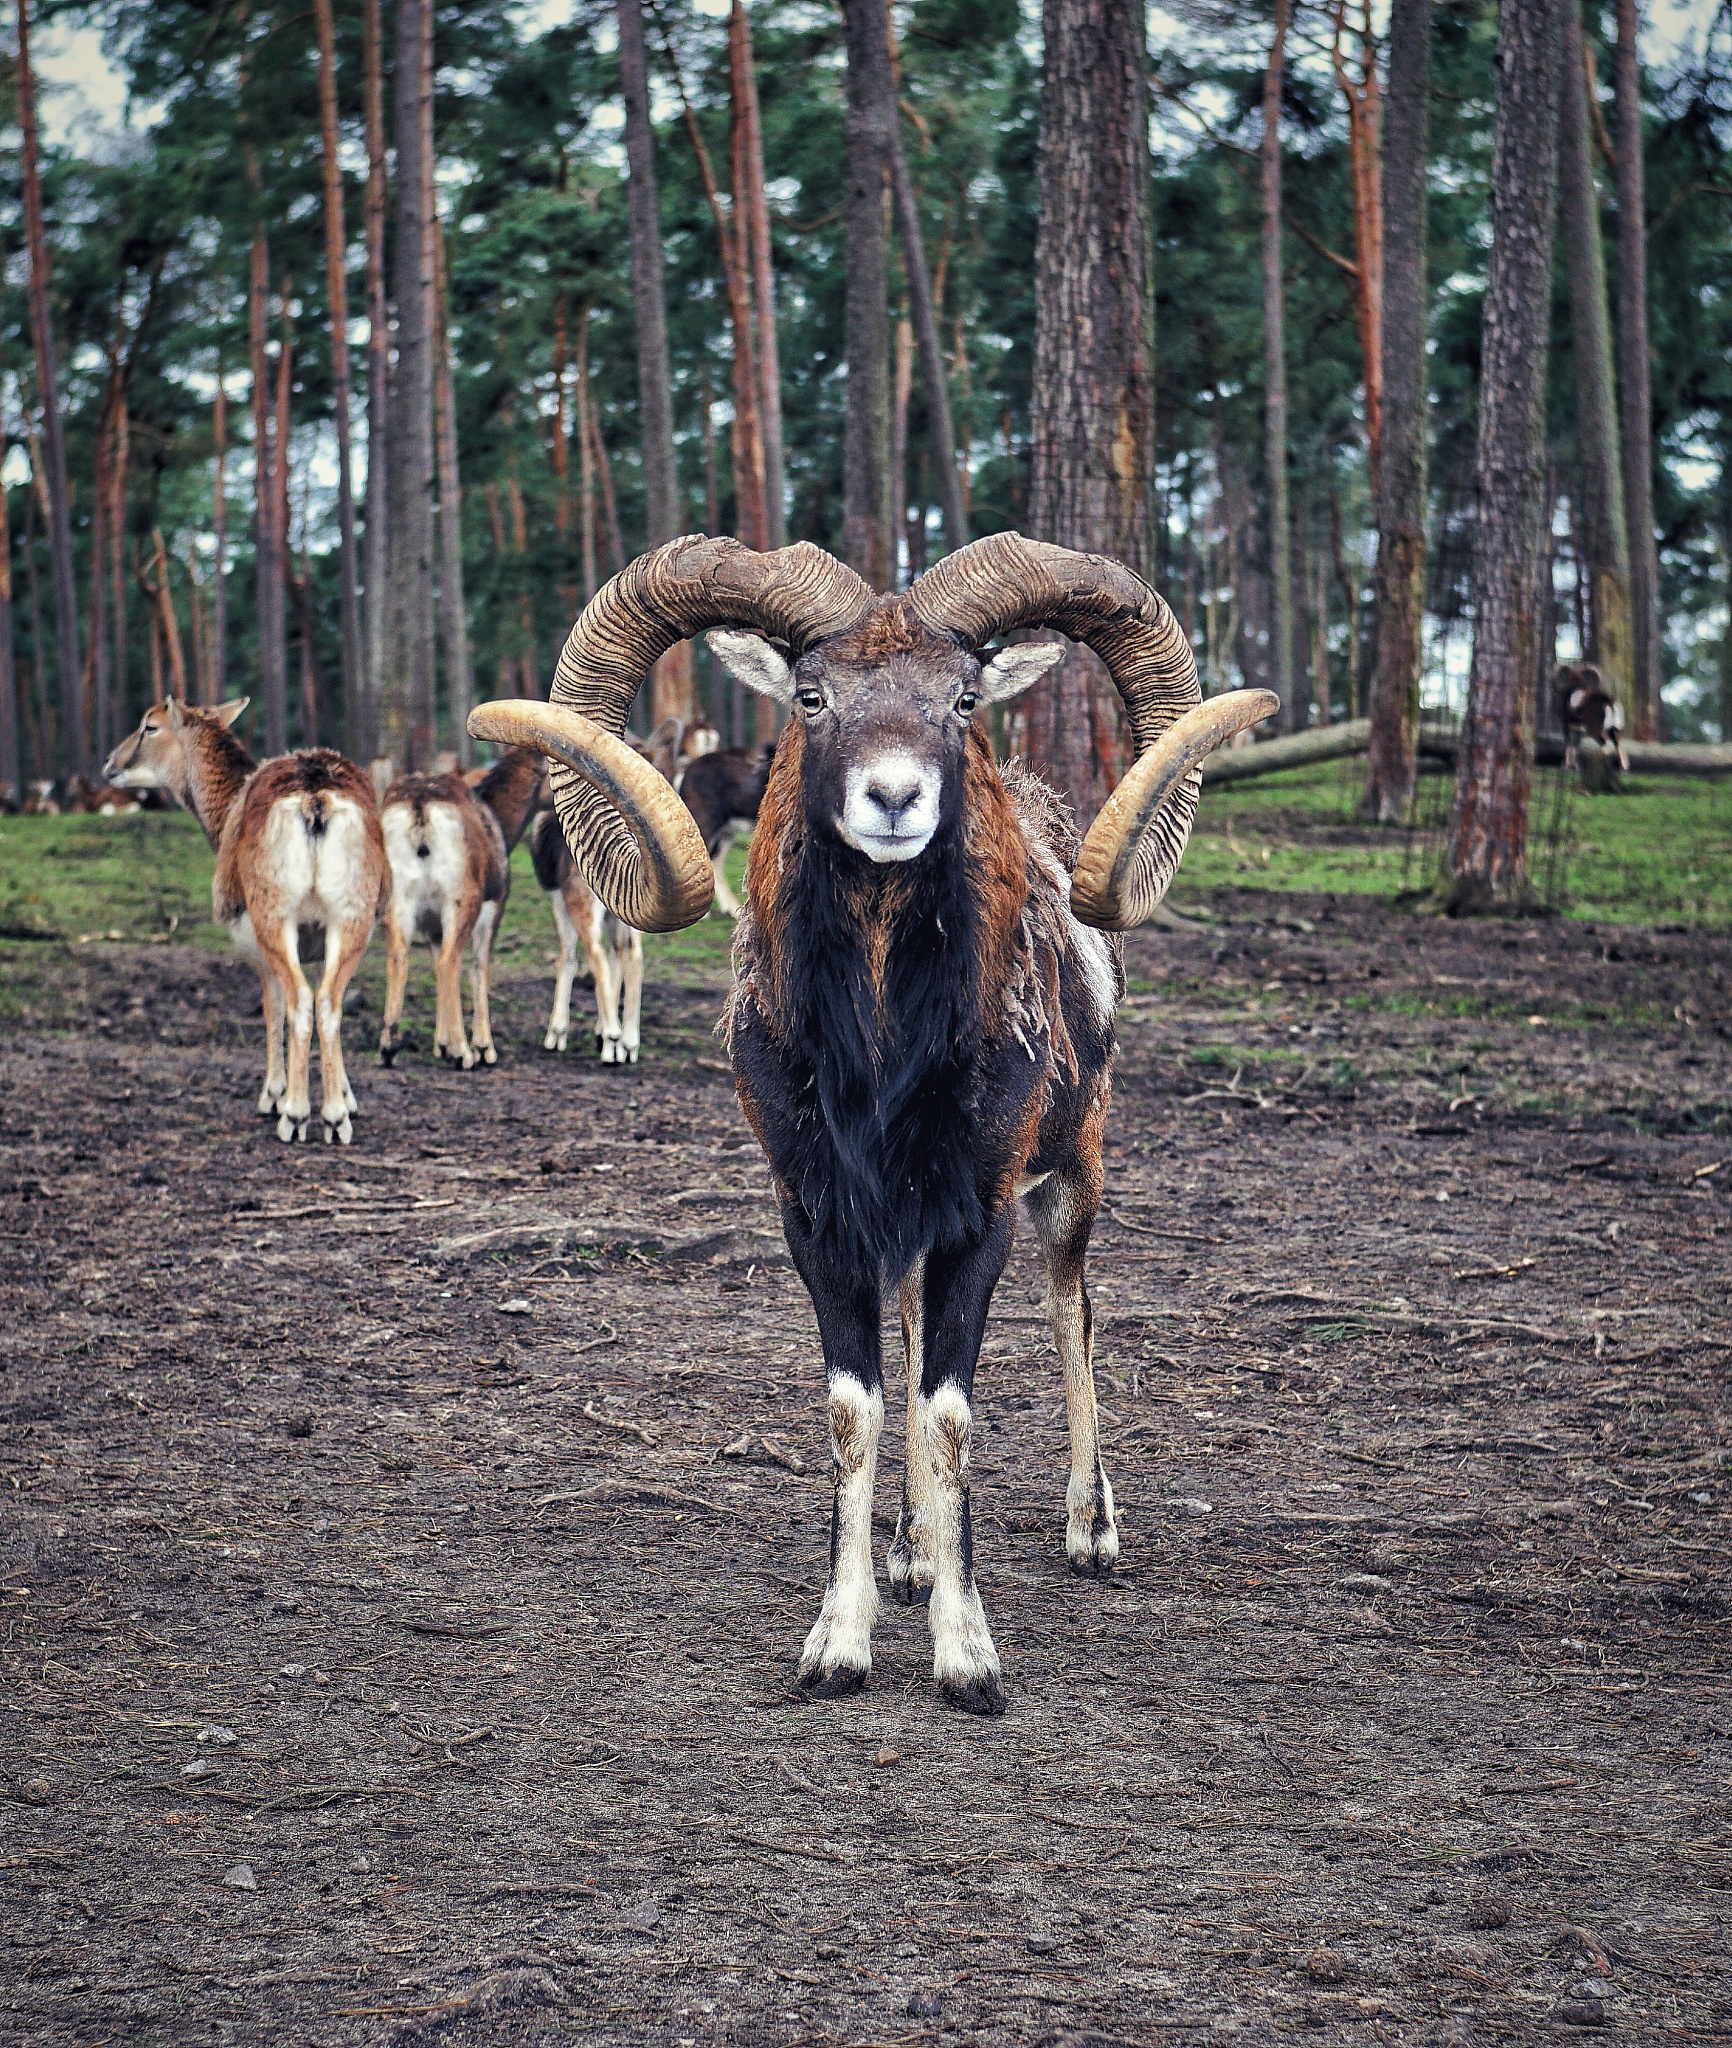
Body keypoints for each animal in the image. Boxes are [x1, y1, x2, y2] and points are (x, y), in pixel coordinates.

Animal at [103, 697, 389, 1143]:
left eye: (150, 725)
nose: (110, 764)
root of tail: (315, 800)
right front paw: (347, 1097)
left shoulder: (249, 937)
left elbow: (272, 1005)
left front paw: (272, 1097)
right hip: (353, 913)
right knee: (328, 1001)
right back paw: (335, 1119)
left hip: (273, 913)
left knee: (299, 1000)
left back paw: (294, 1116)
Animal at [471, 533, 1273, 1713]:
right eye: (813, 696)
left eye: (962, 698)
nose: (893, 798)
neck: (887, 1059)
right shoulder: (824, 1220)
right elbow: (861, 1406)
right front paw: (840, 1645)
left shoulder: (981, 1214)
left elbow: (950, 1413)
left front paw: (969, 1662)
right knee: (913, 1330)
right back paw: (910, 1552)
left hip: (1071, 1179)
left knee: (1074, 1312)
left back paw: (1089, 1533)